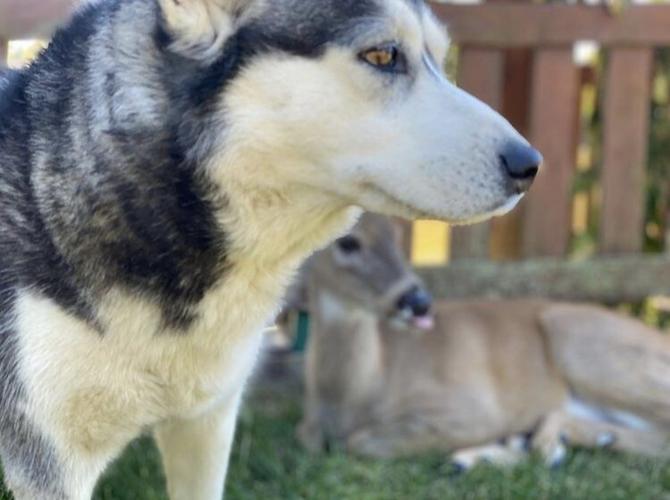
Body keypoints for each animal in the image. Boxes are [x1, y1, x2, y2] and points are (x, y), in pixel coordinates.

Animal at [295, 213, 670, 469]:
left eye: (398, 235)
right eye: (348, 242)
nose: (419, 302)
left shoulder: (474, 409)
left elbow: (358, 443)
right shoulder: (307, 425)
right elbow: (311, 439)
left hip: (581, 341)